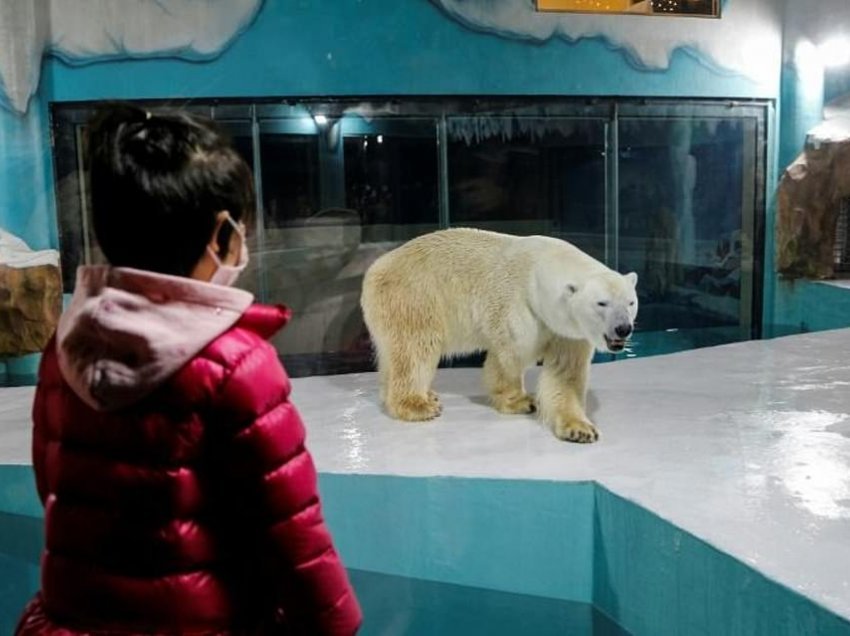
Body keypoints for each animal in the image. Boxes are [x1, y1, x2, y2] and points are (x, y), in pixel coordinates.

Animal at [360, 229, 636, 442]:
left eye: (630, 302)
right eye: (602, 303)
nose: (623, 328)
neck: (538, 269)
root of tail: (374, 269)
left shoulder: (567, 329)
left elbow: (565, 374)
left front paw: (580, 429)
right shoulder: (516, 304)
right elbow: (509, 355)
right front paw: (522, 401)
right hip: (413, 297)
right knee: (416, 349)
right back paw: (418, 405)